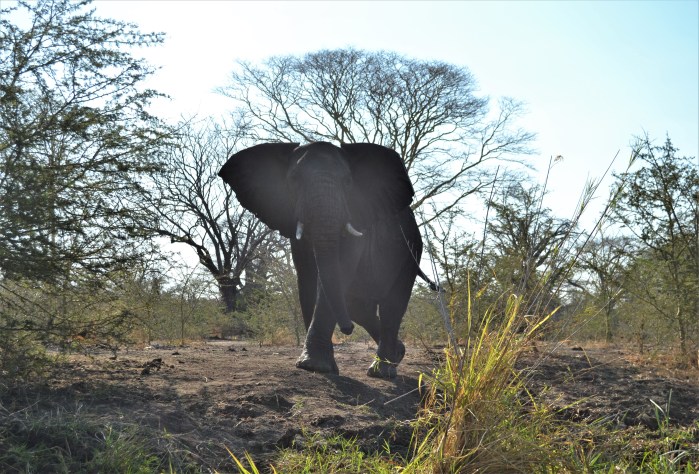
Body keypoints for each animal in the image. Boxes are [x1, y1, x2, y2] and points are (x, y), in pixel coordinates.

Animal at [218, 142, 437, 378]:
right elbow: (307, 277)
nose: (348, 330)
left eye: (348, 182)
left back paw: (381, 370)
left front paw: (315, 365)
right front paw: (315, 365)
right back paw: (398, 353)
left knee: (392, 304)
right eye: (294, 179)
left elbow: (336, 271)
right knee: (357, 306)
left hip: (410, 250)